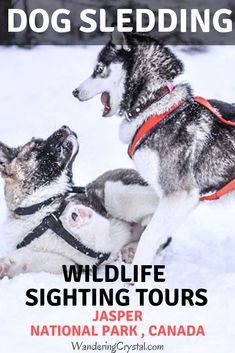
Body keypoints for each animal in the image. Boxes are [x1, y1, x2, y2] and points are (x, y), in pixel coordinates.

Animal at [0, 125, 158, 276]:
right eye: (37, 146)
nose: (65, 126)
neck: (40, 210)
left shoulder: (104, 238)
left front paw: (80, 216)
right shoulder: (65, 263)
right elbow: (27, 259)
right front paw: (5, 266)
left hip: (116, 194)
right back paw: (131, 249)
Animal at [74, 31, 235, 266]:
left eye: (99, 69)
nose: (74, 91)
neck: (153, 105)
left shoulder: (179, 195)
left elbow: (148, 237)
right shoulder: (180, 201)